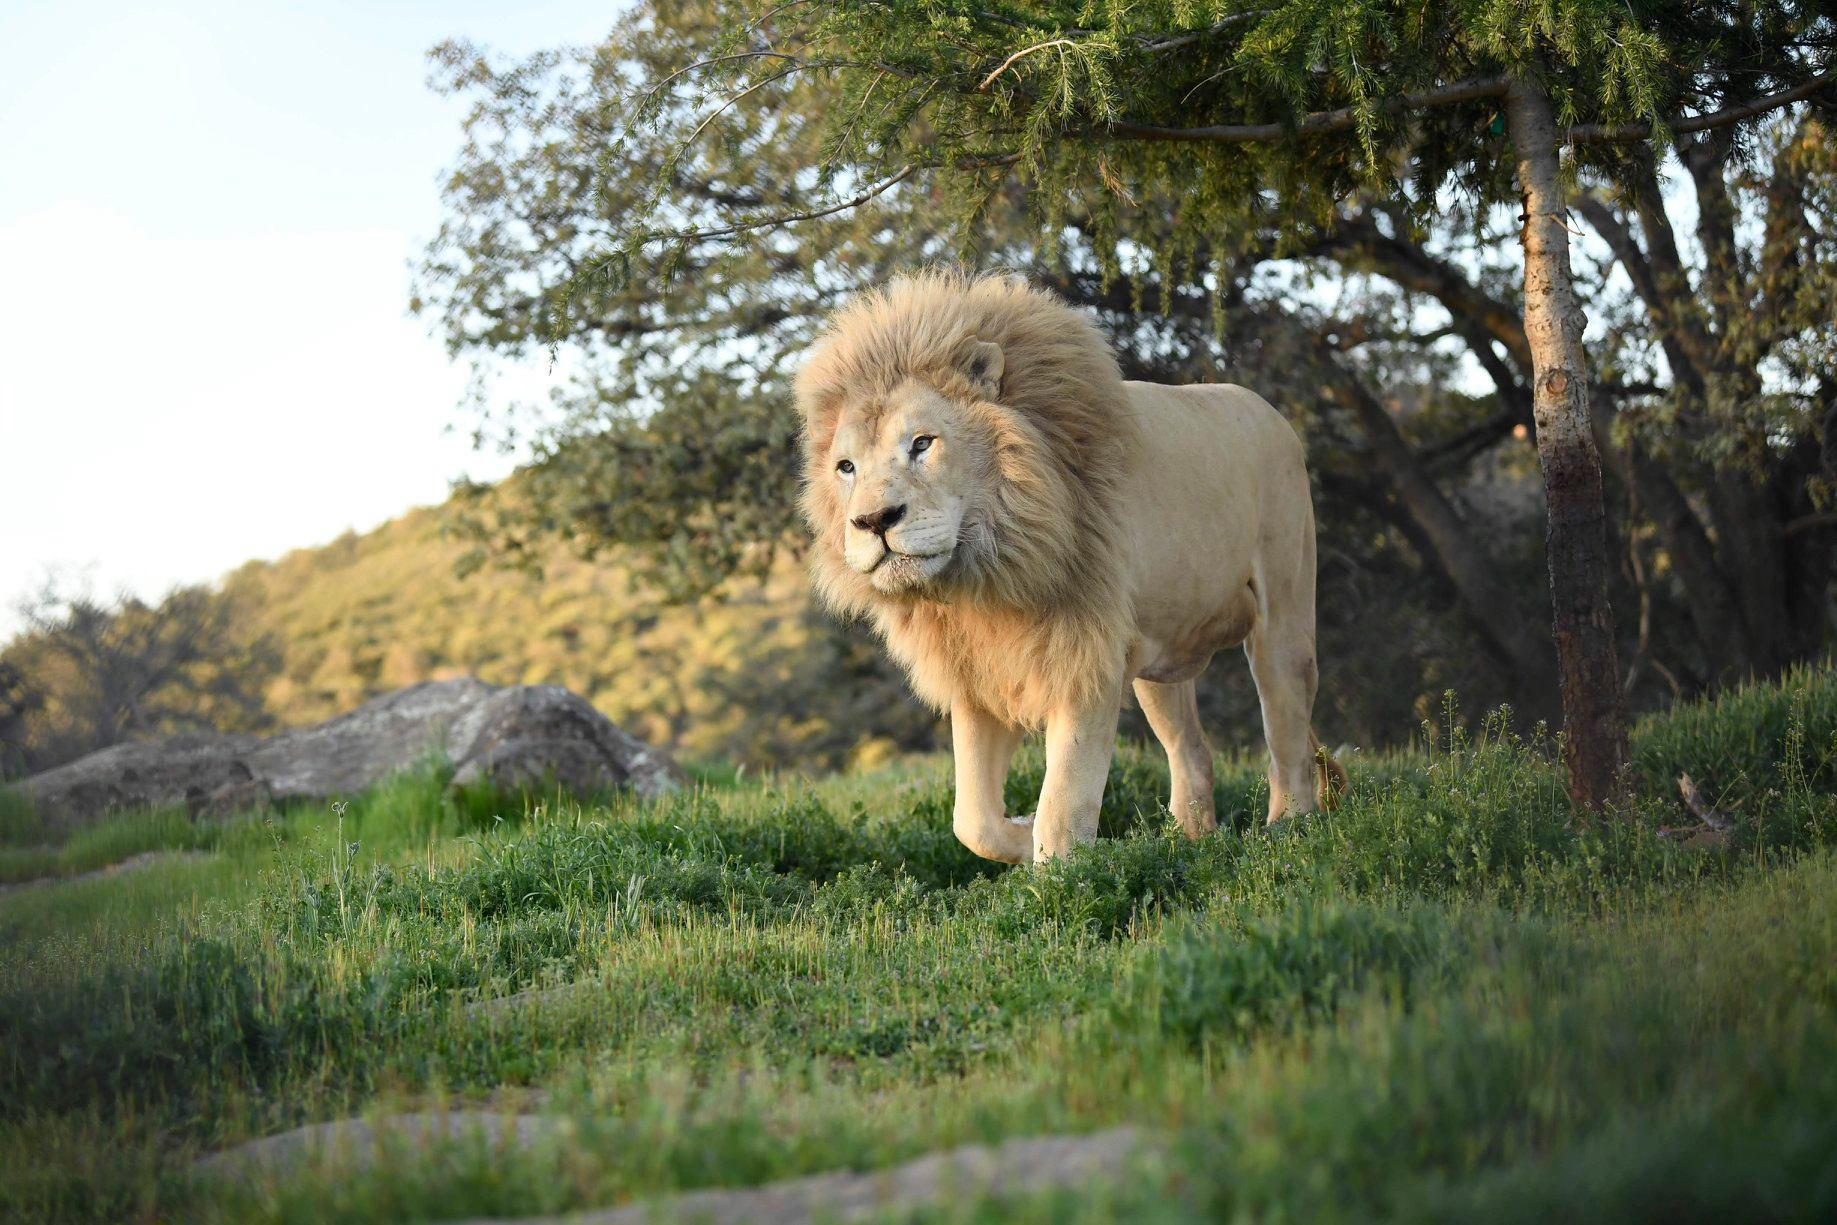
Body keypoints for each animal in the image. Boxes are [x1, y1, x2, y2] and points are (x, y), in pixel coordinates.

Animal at [796, 271, 1344, 863]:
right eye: (845, 467)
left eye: (923, 443)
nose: (872, 520)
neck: (989, 574)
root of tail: (1270, 411)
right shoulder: (979, 679)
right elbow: (972, 820)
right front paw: (1020, 830)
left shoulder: (1085, 658)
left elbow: (1064, 805)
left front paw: (1060, 871)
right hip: (1158, 661)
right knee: (1194, 750)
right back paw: (1190, 842)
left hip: (1282, 618)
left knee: (1287, 735)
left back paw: (1289, 831)